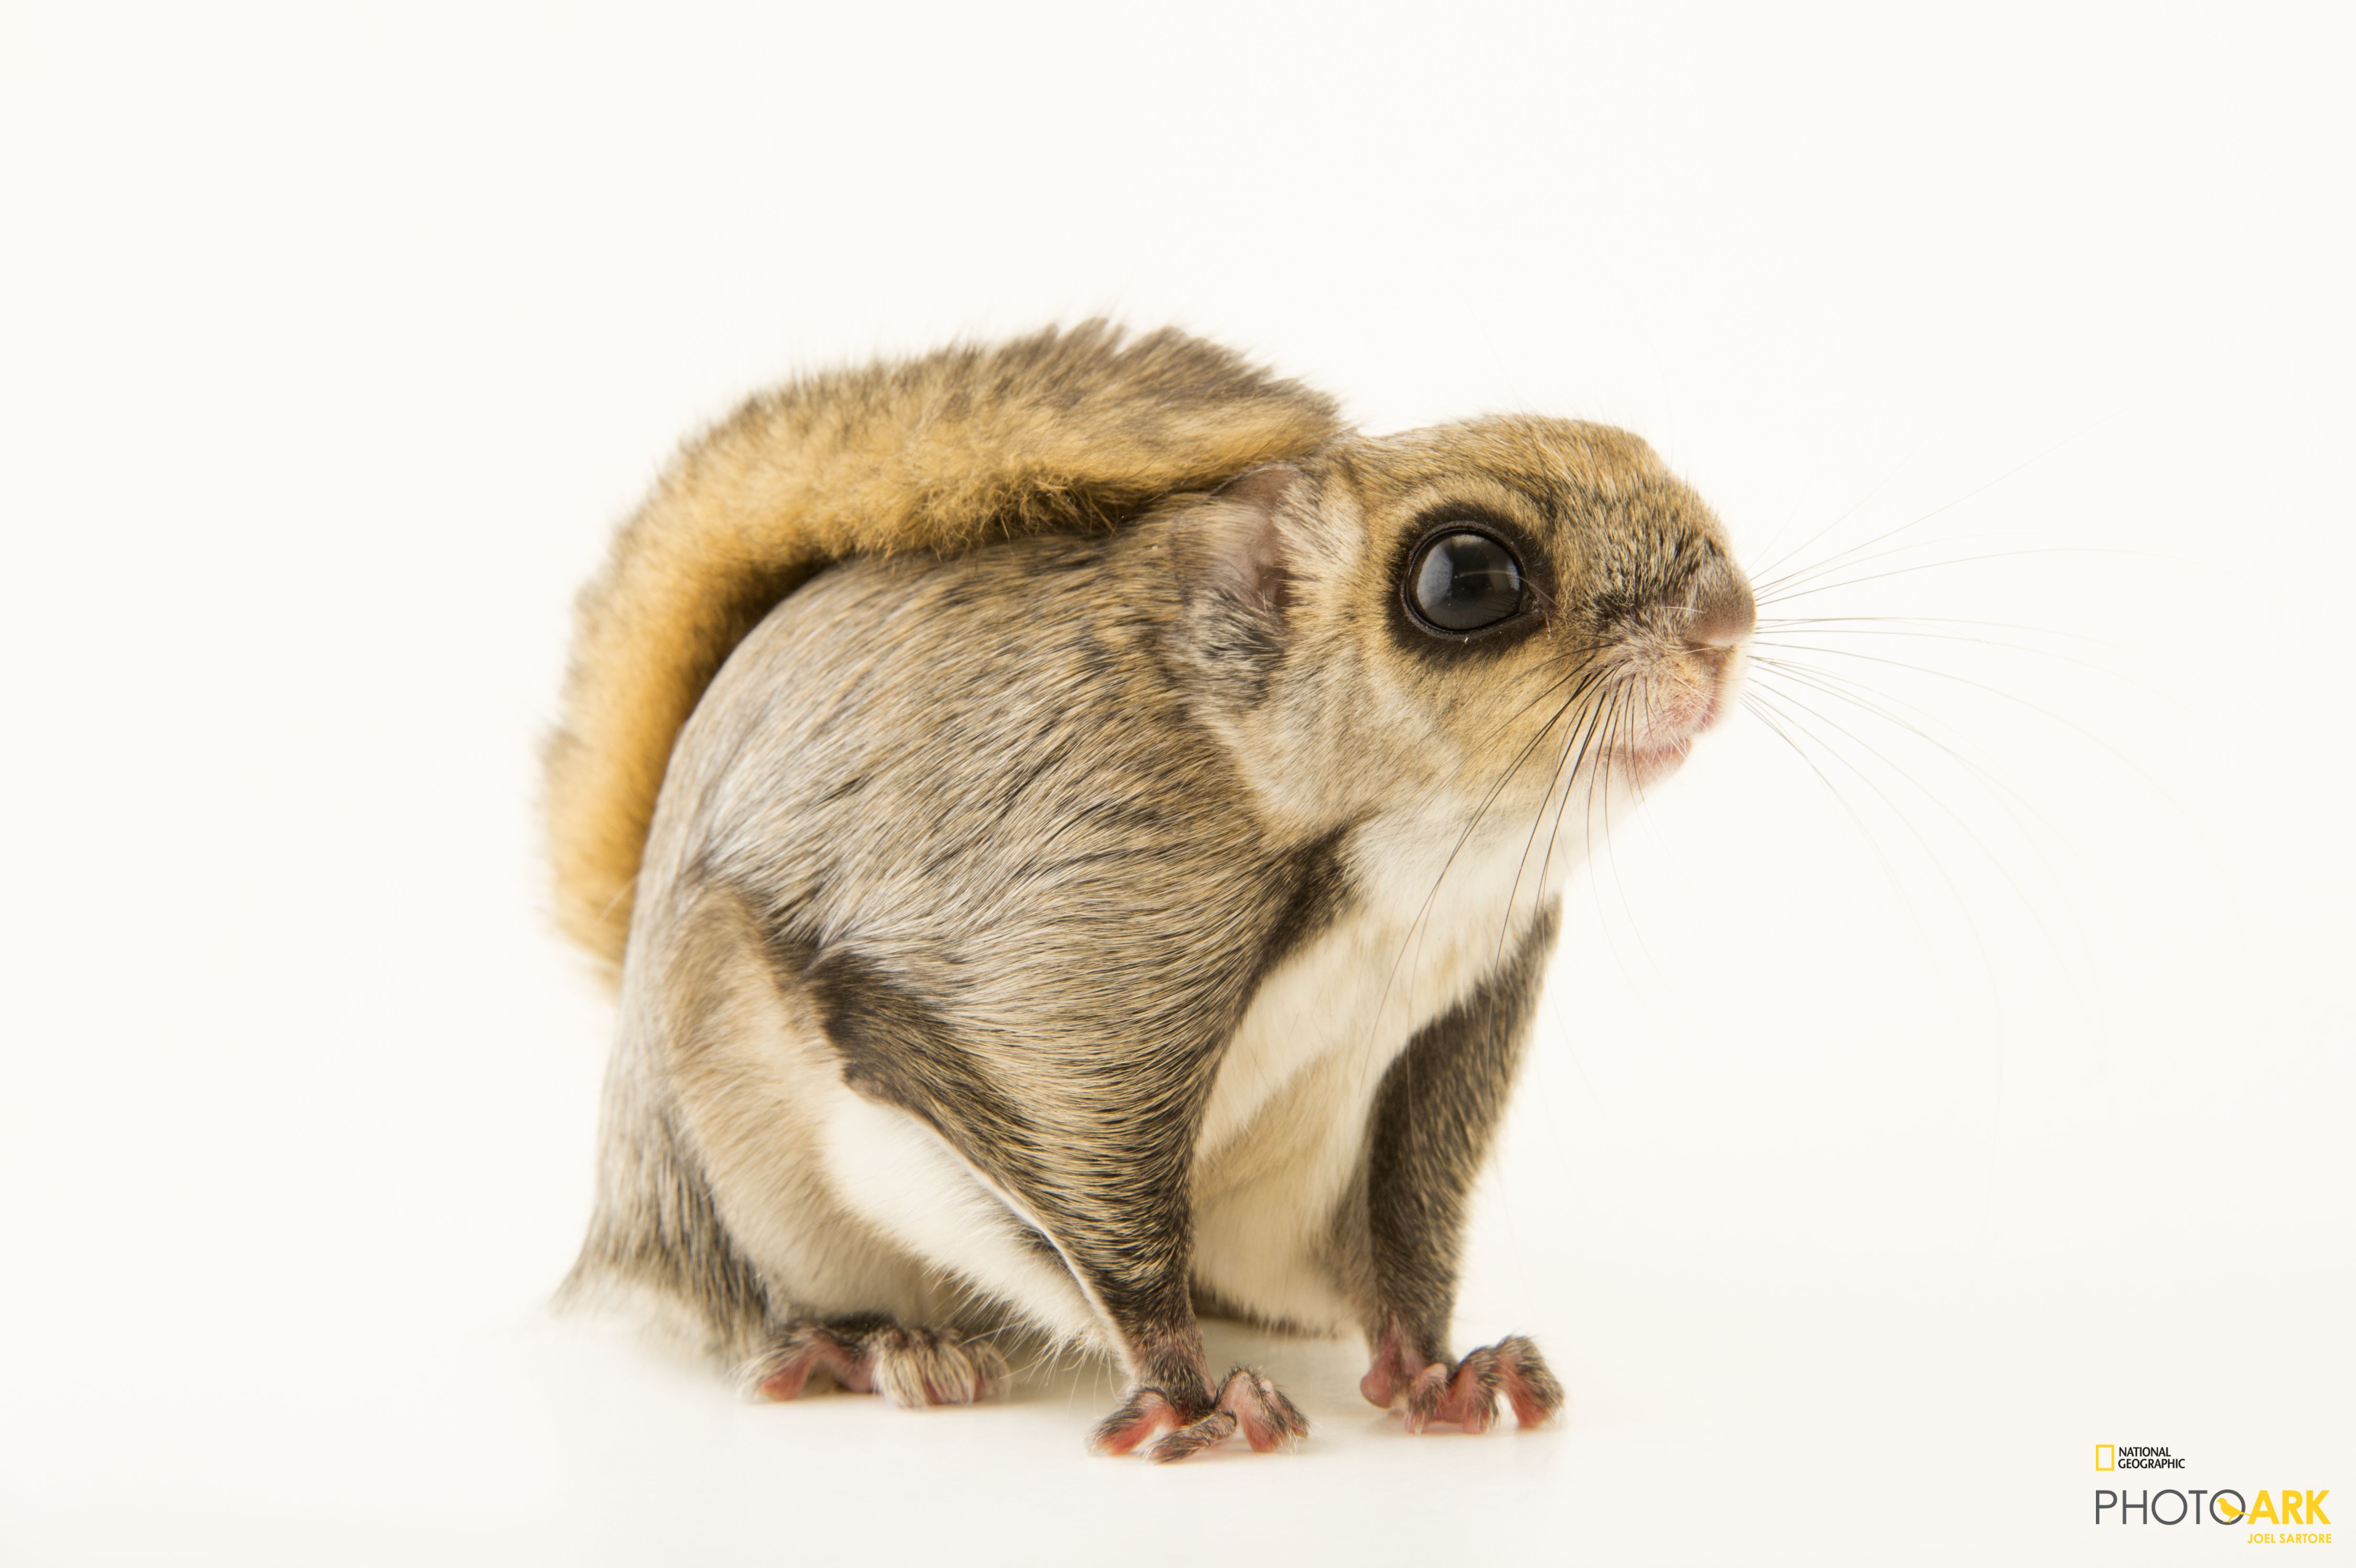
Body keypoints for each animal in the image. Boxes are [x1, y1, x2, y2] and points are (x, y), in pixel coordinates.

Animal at [547, 322, 1754, 1462]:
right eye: (1468, 576)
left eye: (1639, 449)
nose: (1725, 617)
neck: (1406, 873)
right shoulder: (1082, 950)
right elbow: (1087, 1221)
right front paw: (1195, 1397)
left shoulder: (1452, 1025)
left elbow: (1406, 1228)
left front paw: (1441, 1372)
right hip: (732, 1113)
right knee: (761, 1298)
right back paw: (875, 1342)